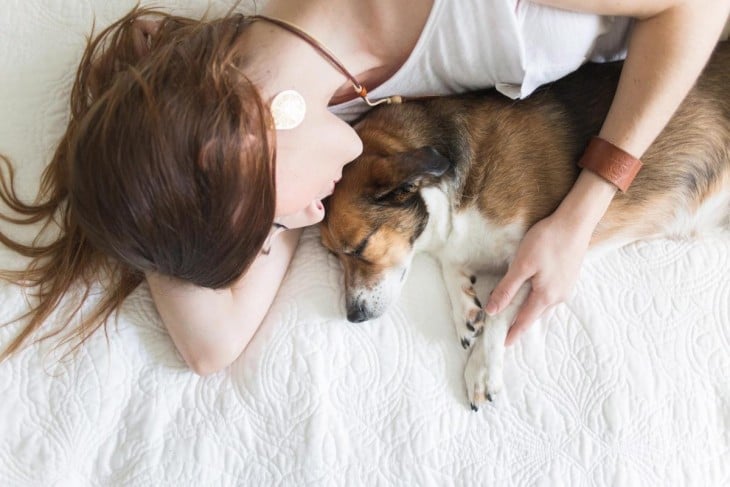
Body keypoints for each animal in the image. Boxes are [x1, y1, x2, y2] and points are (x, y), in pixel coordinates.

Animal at [322, 42, 728, 410]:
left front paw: (482, 368)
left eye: (360, 247)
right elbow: (456, 270)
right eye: (333, 256)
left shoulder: (533, 256)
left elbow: (499, 308)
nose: (352, 316)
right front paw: (465, 309)